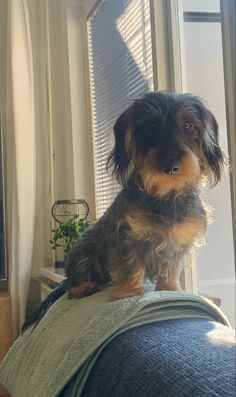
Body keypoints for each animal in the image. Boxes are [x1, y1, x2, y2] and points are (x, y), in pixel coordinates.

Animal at [22, 91, 225, 330]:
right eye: (150, 126)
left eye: (188, 125)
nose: (170, 166)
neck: (165, 195)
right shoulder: (127, 236)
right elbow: (131, 263)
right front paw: (129, 291)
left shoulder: (178, 244)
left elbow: (171, 266)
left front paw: (169, 289)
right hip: (82, 252)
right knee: (73, 283)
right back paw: (84, 287)